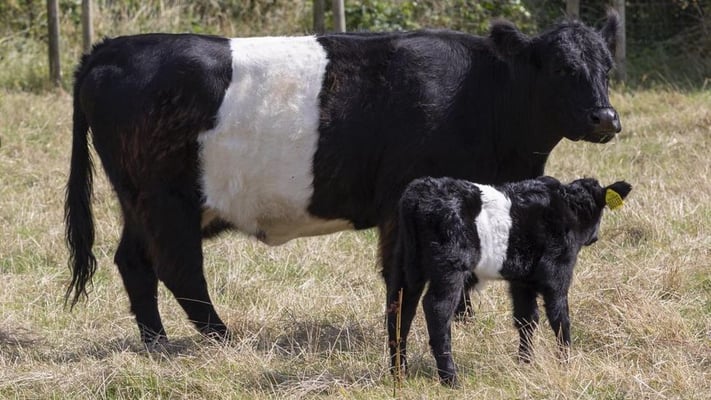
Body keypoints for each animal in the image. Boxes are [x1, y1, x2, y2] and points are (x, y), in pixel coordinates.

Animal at [65, 14, 624, 346]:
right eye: (560, 68)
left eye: (608, 67)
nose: (605, 118)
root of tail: (108, 50)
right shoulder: (407, 201)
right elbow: (410, 274)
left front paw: (462, 319)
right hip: (166, 200)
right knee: (180, 271)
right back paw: (221, 338)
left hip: (142, 203)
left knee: (134, 263)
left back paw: (157, 345)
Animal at [390, 175, 636, 384]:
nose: (595, 238)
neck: (570, 206)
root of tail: (420, 192)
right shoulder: (557, 272)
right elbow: (560, 318)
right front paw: (566, 364)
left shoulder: (522, 281)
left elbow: (526, 319)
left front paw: (525, 362)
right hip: (449, 267)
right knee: (437, 309)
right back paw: (450, 379)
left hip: (405, 264)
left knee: (399, 307)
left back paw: (398, 371)